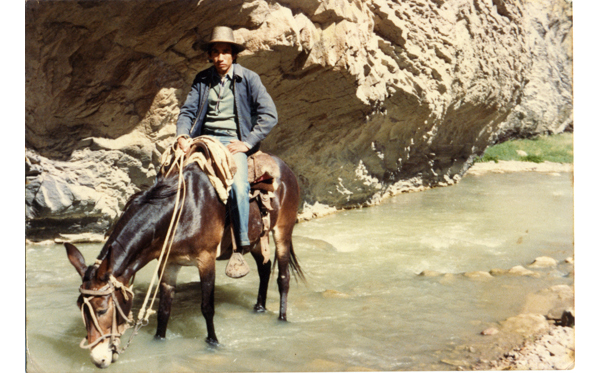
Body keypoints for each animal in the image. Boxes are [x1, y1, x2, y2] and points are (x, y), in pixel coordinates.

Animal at [64, 154, 304, 366]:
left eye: (102, 310)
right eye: (80, 307)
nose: (98, 359)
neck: (181, 211)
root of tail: (285, 168)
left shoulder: (206, 259)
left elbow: (207, 307)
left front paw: (213, 342)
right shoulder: (169, 263)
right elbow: (164, 309)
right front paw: (159, 340)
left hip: (283, 231)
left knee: (283, 277)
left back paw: (282, 319)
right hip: (255, 241)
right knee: (264, 269)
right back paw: (259, 307)